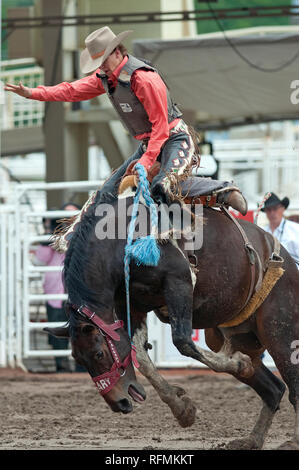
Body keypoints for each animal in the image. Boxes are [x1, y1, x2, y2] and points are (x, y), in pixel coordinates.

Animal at [45, 169, 299, 452]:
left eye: (99, 353)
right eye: (78, 359)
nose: (119, 403)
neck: (122, 238)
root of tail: (286, 259)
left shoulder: (179, 283)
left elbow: (183, 342)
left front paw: (237, 364)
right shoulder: (133, 303)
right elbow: (140, 355)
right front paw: (183, 409)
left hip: (280, 333)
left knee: (293, 384)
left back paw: (291, 438)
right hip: (242, 334)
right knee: (274, 389)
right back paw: (251, 439)